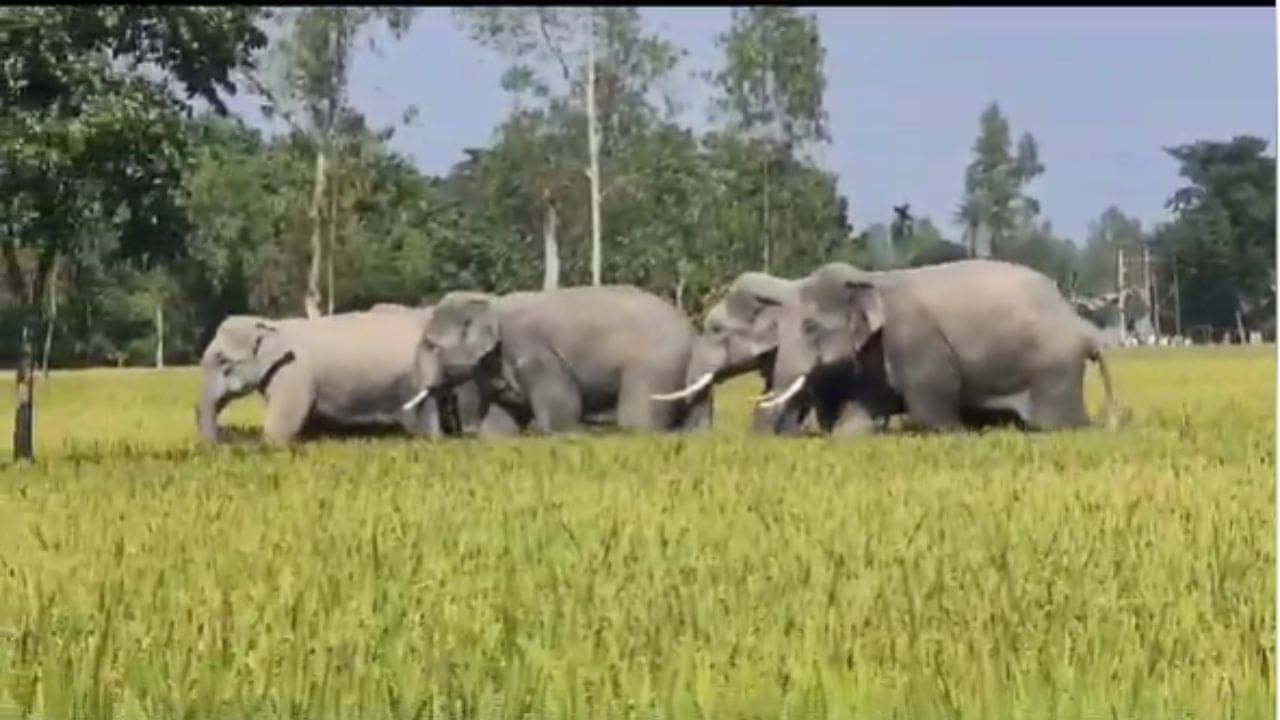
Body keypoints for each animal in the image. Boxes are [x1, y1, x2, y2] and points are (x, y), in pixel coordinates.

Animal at [195, 306, 483, 443]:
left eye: (223, 362)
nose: (222, 441)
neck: (272, 325)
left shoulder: (294, 374)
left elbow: (285, 421)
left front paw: (271, 445)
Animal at [400, 285, 713, 437]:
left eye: (430, 345)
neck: (491, 302)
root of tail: (690, 328)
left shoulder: (534, 351)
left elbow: (559, 406)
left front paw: (569, 435)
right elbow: (501, 419)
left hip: (654, 364)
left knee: (637, 417)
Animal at [760, 259, 1124, 433]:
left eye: (810, 327)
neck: (870, 278)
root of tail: (1083, 327)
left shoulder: (912, 334)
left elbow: (930, 398)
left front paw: (955, 433)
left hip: (1054, 366)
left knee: (1057, 420)